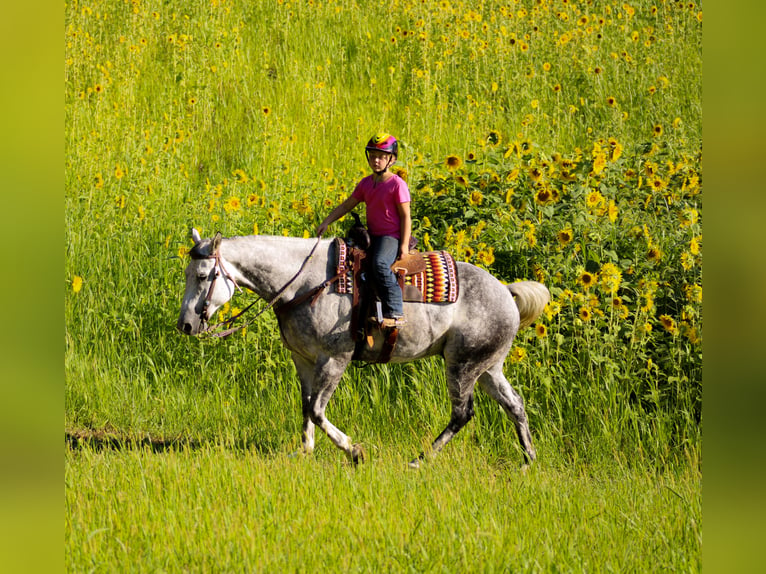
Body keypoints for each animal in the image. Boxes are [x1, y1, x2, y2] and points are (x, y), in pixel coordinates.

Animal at [178, 230, 552, 468]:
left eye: (203, 275)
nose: (186, 325)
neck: (305, 284)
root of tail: (507, 292)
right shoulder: (303, 359)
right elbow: (305, 407)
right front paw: (305, 452)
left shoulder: (335, 358)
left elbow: (317, 410)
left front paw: (354, 452)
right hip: (487, 367)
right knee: (514, 405)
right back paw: (527, 462)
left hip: (461, 366)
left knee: (463, 414)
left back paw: (419, 461)